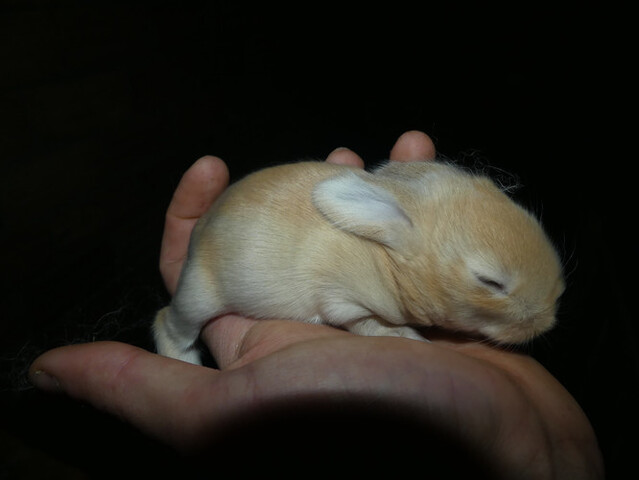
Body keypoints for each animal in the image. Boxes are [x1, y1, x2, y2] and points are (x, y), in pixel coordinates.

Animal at [154, 159, 564, 366]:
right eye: (490, 282)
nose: (548, 320)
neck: (386, 259)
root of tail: (198, 234)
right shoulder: (342, 300)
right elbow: (368, 324)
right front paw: (407, 336)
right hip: (199, 295)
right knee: (169, 324)